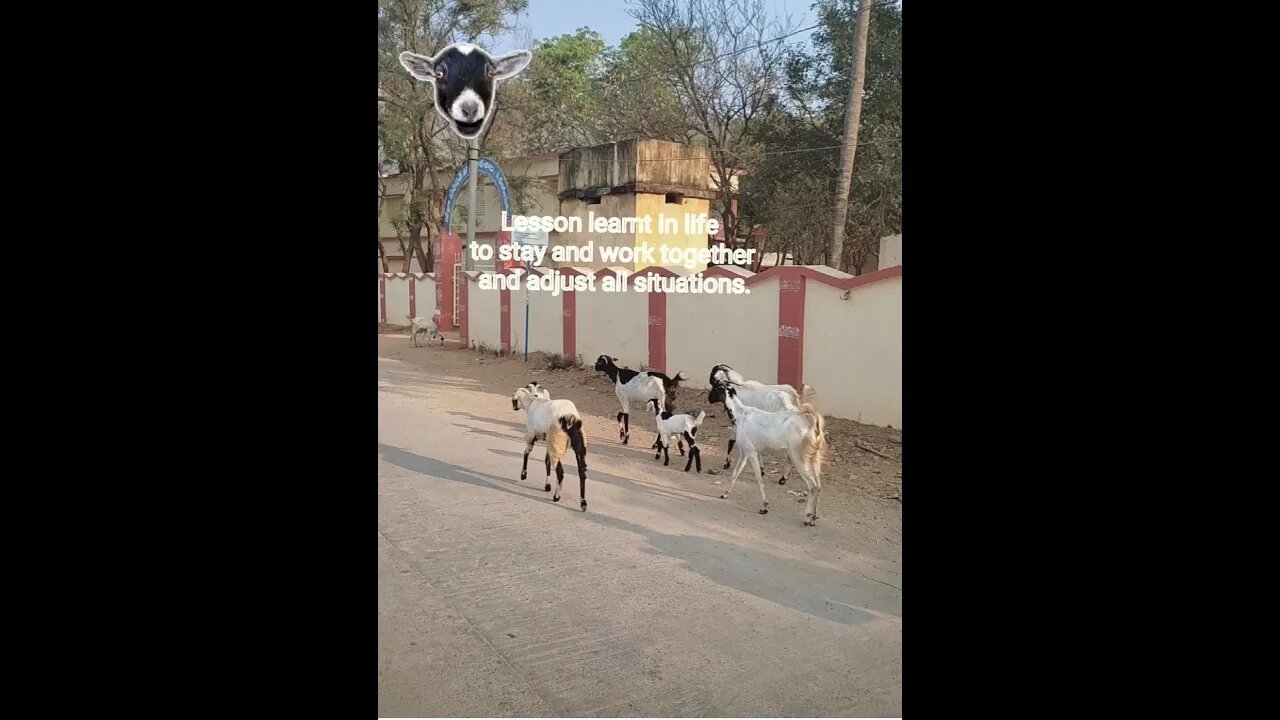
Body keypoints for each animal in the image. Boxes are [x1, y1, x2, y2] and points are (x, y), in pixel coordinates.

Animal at [509, 381, 588, 509]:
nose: (513, 407)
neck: (532, 402)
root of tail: (570, 417)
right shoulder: (547, 441)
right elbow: (546, 461)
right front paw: (547, 486)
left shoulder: (531, 436)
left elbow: (526, 452)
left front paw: (523, 475)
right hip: (579, 447)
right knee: (582, 473)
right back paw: (583, 503)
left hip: (556, 444)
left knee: (560, 472)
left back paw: (556, 497)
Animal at [706, 384, 824, 525]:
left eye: (715, 388)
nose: (708, 399)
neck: (740, 415)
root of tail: (810, 422)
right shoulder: (744, 452)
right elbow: (735, 473)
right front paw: (725, 494)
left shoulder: (751, 452)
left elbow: (759, 478)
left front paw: (764, 506)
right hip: (814, 458)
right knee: (818, 485)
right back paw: (814, 518)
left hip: (798, 456)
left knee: (812, 486)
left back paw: (807, 517)